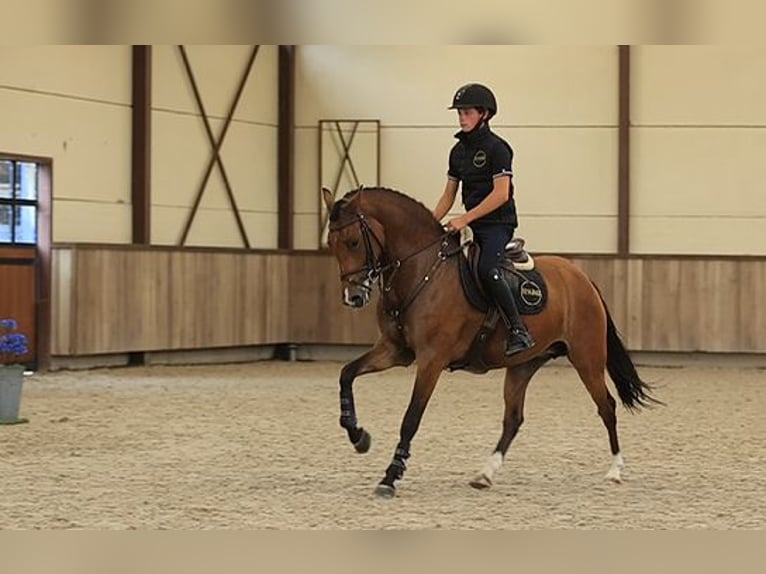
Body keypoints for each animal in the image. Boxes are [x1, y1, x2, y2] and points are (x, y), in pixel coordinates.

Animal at [321, 185, 659, 499]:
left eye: (353, 242)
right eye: (331, 245)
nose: (354, 297)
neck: (423, 272)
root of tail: (582, 278)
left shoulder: (431, 359)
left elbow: (411, 418)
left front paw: (390, 477)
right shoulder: (394, 351)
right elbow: (346, 374)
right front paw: (358, 436)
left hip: (587, 358)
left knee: (607, 406)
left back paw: (615, 470)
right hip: (524, 364)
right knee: (513, 419)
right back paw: (485, 474)